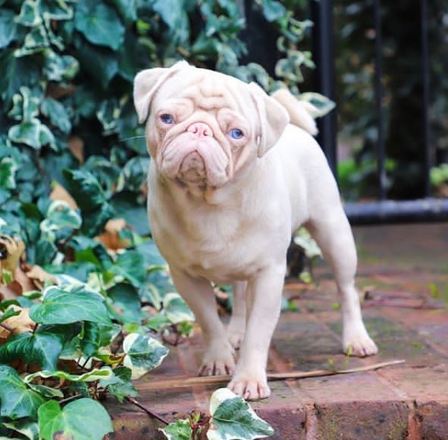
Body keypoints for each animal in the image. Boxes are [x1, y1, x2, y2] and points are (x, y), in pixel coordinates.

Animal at [134, 62, 378, 402]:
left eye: (237, 134)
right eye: (166, 118)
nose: (199, 130)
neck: (207, 202)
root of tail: (296, 128)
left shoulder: (268, 276)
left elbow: (259, 333)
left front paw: (248, 379)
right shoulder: (185, 276)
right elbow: (209, 320)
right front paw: (218, 358)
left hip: (334, 234)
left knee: (346, 289)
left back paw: (356, 338)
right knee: (238, 297)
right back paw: (234, 333)